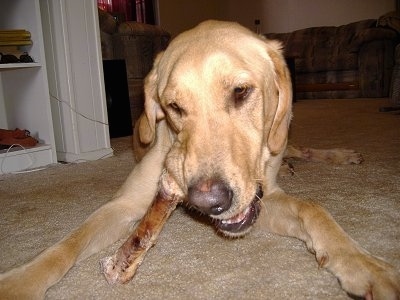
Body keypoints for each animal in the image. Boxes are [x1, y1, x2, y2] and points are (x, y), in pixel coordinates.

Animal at [0, 20, 400, 298]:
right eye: (173, 106)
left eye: (241, 91)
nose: (210, 202)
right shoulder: (123, 205)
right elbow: (67, 243)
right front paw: (20, 282)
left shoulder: (263, 197)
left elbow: (313, 208)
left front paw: (364, 264)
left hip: (281, 135)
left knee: (297, 147)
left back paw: (339, 155)